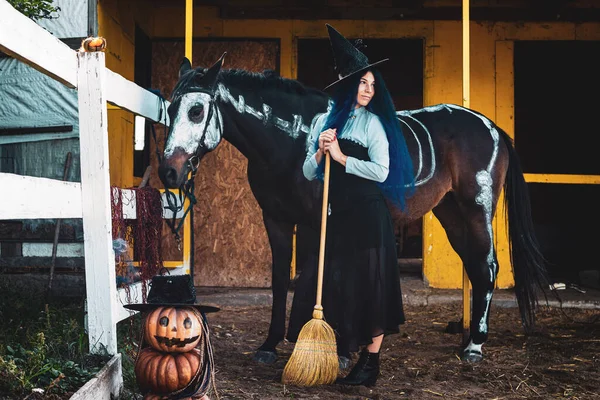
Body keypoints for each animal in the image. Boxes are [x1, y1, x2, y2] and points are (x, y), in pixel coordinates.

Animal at [157, 56, 552, 366]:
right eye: (169, 109)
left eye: (196, 111)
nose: (168, 172)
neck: (293, 139)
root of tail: (492, 127)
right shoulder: (277, 220)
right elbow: (280, 280)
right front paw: (269, 345)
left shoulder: (319, 221)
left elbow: (322, 276)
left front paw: (338, 348)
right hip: (451, 212)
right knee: (475, 265)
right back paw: (467, 339)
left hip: (476, 208)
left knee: (487, 265)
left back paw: (475, 346)